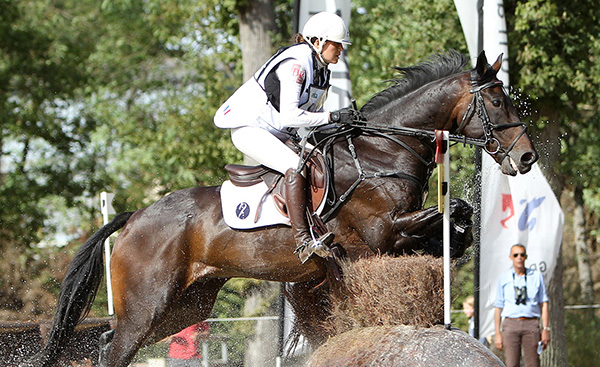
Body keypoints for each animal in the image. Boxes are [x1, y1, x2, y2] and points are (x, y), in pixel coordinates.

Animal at [25, 49, 536, 367]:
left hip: (183, 307)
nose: (527, 158)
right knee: (115, 347)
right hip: (148, 305)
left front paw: (459, 239)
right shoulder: (381, 233)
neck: (381, 151)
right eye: (496, 101)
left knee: (110, 342)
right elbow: (442, 214)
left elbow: (456, 213)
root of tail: (134, 218)